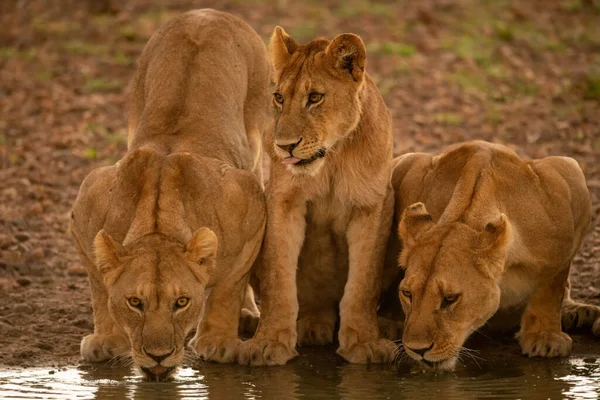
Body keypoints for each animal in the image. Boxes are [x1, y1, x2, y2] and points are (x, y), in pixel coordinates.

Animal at [68, 7, 270, 380]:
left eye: (181, 303)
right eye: (135, 302)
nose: (158, 356)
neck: (158, 224)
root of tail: (207, 12)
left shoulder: (251, 206)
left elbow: (228, 287)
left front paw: (218, 341)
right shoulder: (85, 210)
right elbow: (99, 286)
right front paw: (107, 339)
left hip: (257, 134)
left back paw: (247, 315)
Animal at [237, 27, 396, 366]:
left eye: (314, 98)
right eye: (279, 98)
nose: (284, 146)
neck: (332, 157)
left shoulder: (374, 203)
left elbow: (364, 282)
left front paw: (365, 342)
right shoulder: (283, 199)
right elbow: (279, 277)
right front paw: (269, 341)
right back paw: (308, 325)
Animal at [392, 141, 596, 372]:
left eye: (450, 298)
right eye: (407, 293)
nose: (417, 350)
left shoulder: (563, 178)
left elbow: (552, 283)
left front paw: (545, 338)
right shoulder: (411, 171)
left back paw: (577, 312)